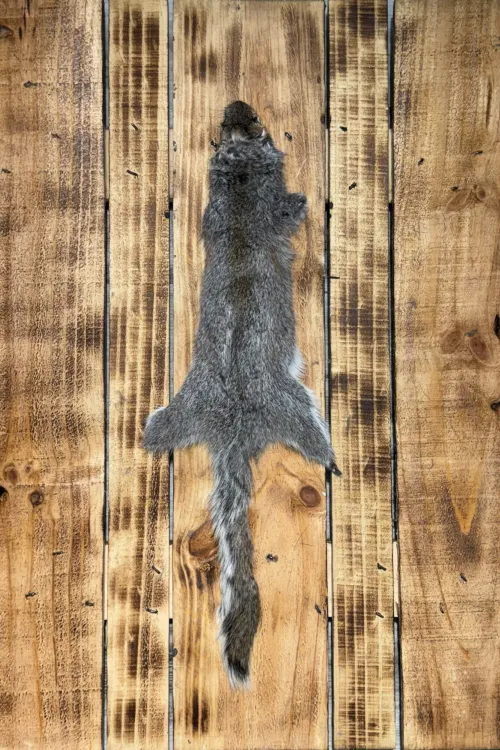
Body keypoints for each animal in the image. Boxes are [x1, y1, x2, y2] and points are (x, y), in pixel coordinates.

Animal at [144, 101, 340, 689]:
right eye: (266, 136)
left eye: (237, 130)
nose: (238, 107)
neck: (241, 189)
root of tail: (231, 427)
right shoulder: (270, 209)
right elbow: (288, 212)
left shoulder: (214, 215)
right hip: (295, 405)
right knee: (314, 433)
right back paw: (330, 454)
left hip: (172, 413)